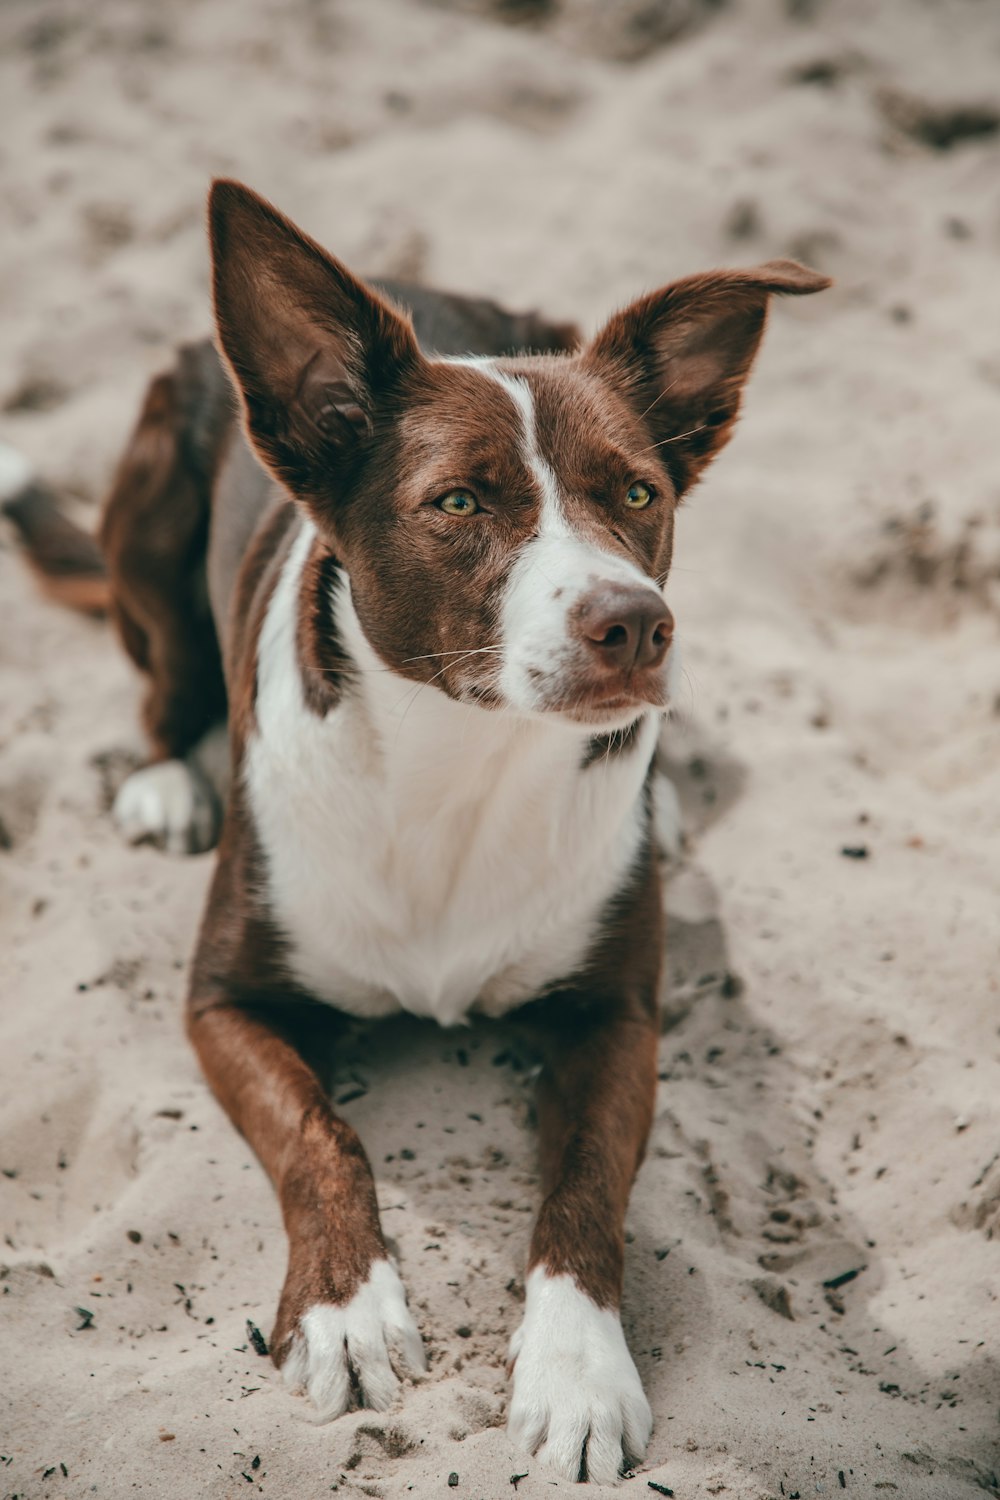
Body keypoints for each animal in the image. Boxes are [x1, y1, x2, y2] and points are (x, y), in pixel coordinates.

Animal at [1, 181, 827, 1482]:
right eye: (457, 502)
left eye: (637, 494)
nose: (637, 624)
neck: (461, 765)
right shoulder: (222, 1003)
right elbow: (319, 1134)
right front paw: (346, 1312)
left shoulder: (616, 1018)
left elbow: (586, 1186)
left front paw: (577, 1371)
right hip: (150, 520)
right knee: (162, 686)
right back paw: (167, 782)